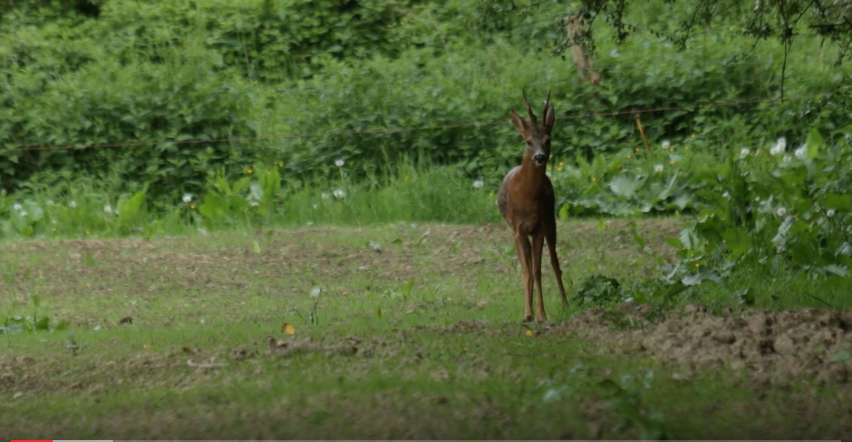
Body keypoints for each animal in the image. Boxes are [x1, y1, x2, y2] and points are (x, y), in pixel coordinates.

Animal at [496, 90, 568, 322]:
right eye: (527, 141)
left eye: (548, 140)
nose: (539, 157)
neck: (526, 197)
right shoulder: (518, 229)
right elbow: (526, 270)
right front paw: (527, 314)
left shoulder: (539, 227)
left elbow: (537, 270)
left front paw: (541, 314)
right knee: (529, 265)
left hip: (551, 222)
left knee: (554, 262)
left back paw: (565, 303)